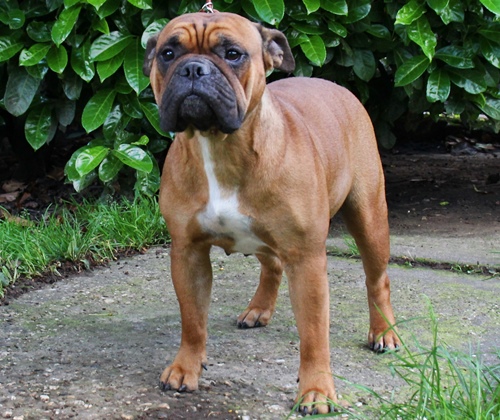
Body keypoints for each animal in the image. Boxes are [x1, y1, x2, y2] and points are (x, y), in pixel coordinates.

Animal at [143, 11, 400, 416]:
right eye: (168, 53)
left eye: (233, 54)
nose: (193, 69)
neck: (219, 144)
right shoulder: (188, 252)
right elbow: (193, 319)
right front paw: (186, 367)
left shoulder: (306, 259)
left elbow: (313, 334)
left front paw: (316, 391)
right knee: (271, 265)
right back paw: (258, 309)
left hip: (369, 217)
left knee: (377, 279)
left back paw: (384, 333)